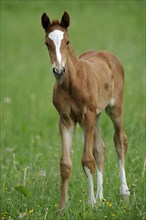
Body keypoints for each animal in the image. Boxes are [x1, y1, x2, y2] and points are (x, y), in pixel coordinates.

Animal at [41, 11, 130, 209]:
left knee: (120, 140)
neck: (71, 84)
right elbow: (66, 164)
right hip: (95, 116)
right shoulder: (66, 120)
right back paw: (101, 197)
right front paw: (62, 208)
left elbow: (87, 160)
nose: (59, 70)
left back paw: (124, 192)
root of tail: (108, 54)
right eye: (46, 43)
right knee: (100, 149)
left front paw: (91, 204)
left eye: (67, 41)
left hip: (114, 109)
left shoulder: (87, 116)